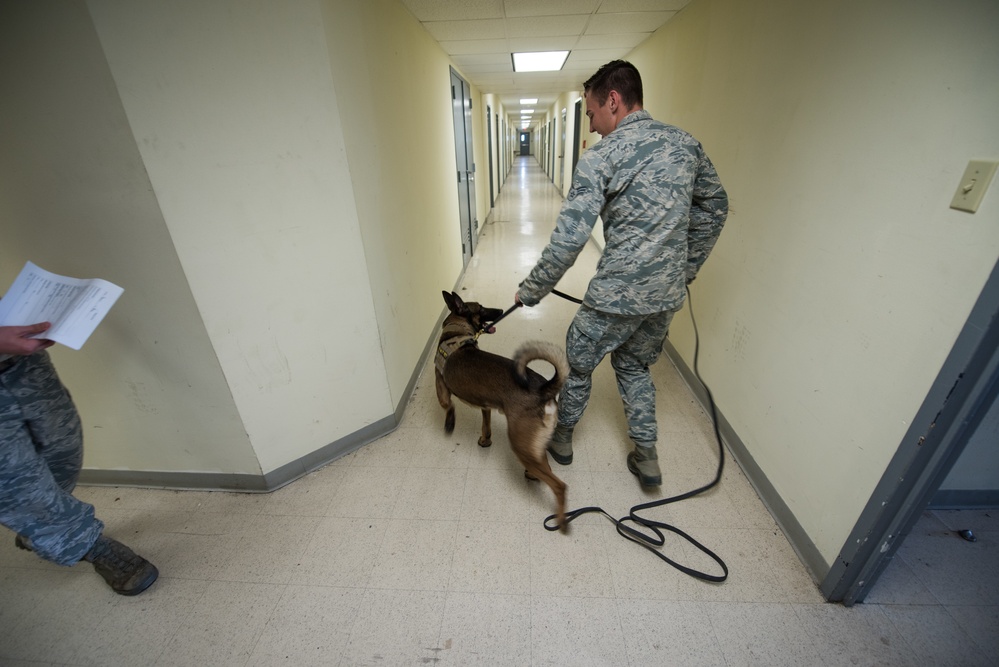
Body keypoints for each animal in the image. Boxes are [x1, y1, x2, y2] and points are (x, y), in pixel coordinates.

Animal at [436, 290, 572, 528]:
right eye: (481, 308)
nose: (500, 310)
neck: (457, 334)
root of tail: (543, 388)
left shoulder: (441, 386)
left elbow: (447, 406)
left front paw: (449, 425)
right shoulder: (486, 406)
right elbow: (486, 425)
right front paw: (485, 441)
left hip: (520, 444)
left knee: (559, 486)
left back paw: (562, 522)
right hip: (533, 445)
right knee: (545, 466)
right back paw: (533, 476)